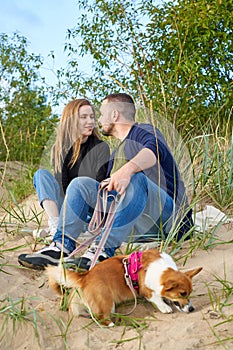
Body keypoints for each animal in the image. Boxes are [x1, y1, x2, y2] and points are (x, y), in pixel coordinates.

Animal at [46, 249, 201, 326]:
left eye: (190, 293)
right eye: (182, 293)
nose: (192, 309)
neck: (162, 269)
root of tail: (84, 277)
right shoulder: (147, 290)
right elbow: (156, 298)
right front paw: (165, 307)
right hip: (107, 301)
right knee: (101, 318)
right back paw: (112, 324)